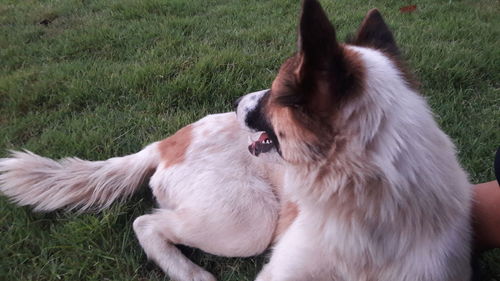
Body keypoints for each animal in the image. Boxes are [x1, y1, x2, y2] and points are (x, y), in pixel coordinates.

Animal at [0, 0, 472, 280]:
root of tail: (167, 142)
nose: (235, 100)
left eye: (275, 93)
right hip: (248, 222)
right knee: (145, 223)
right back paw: (193, 274)